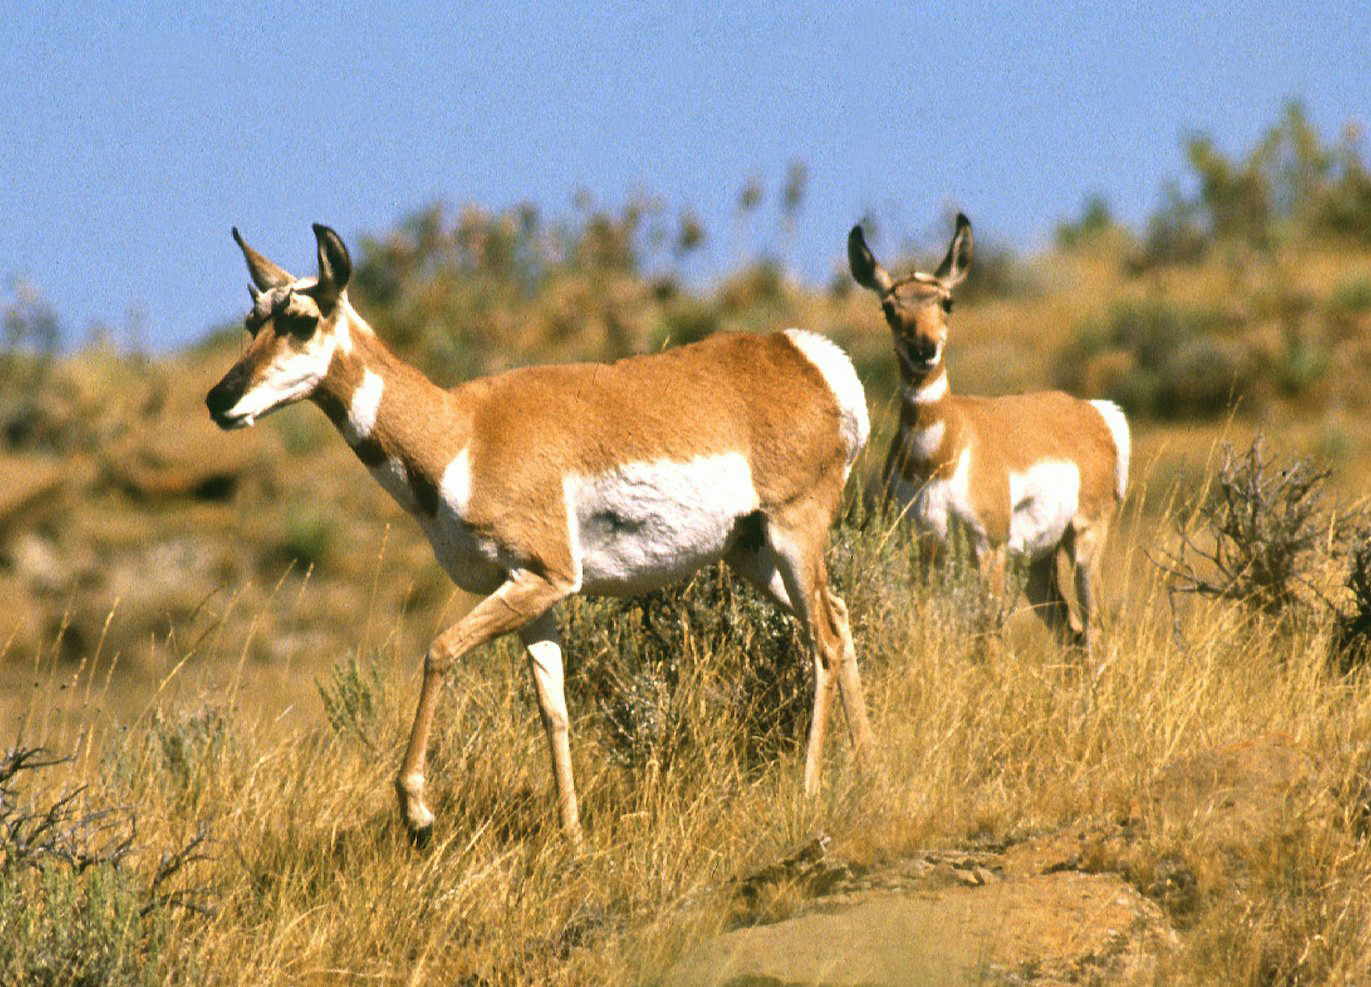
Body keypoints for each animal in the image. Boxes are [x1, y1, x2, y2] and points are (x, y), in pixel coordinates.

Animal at [208, 226, 871, 849]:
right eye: (251, 321)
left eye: (301, 320)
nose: (219, 398)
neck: (463, 433)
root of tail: (807, 356)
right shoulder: (533, 595)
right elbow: (554, 711)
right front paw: (573, 837)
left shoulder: (543, 577)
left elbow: (439, 650)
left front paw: (417, 811)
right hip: (751, 553)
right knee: (839, 618)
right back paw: (872, 766)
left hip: (792, 530)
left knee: (823, 639)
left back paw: (810, 789)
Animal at [844, 213, 1124, 655]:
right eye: (889, 308)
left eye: (947, 302)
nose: (924, 350)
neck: (940, 453)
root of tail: (1091, 411)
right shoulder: (924, 550)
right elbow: (925, 626)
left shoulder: (987, 548)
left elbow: (986, 637)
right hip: (1036, 564)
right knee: (1071, 632)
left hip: (1084, 540)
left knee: (1094, 628)